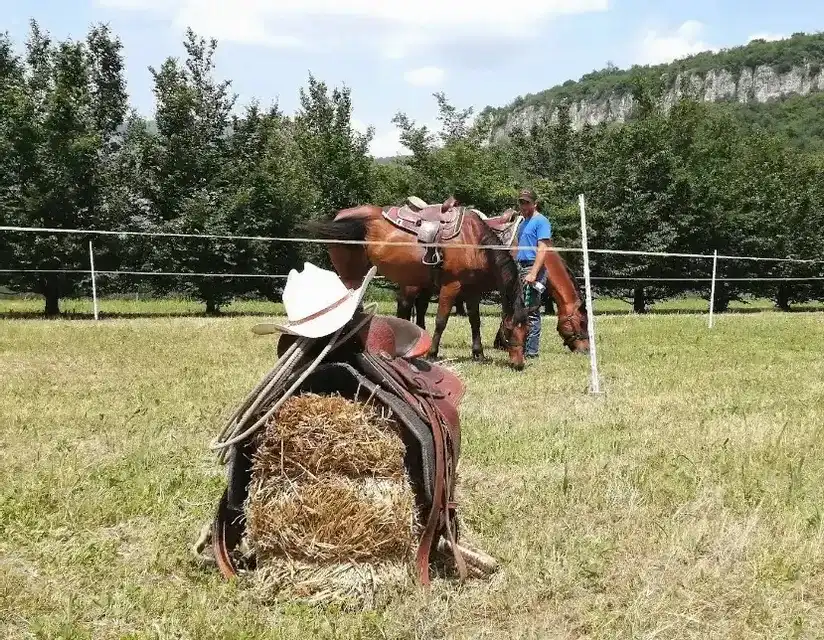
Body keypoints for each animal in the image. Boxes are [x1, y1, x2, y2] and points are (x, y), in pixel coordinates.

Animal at [300, 203, 530, 370]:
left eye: (526, 332)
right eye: (509, 332)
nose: (519, 364)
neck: (473, 241)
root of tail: (342, 216)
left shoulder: (472, 290)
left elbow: (475, 321)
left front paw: (478, 353)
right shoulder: (451, 286)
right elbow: (441, 321)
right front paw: (433, 354)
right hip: (351, 275)